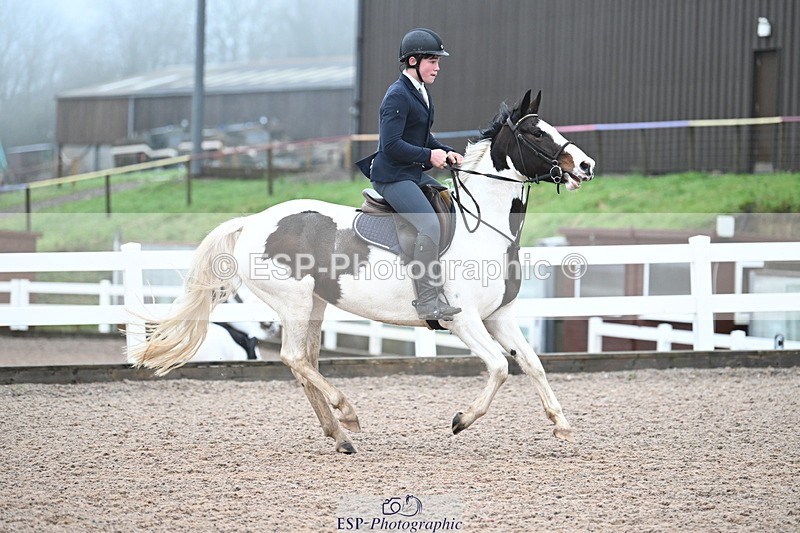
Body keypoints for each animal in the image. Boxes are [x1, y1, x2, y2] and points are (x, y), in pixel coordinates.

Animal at [127, 90, 596, 454]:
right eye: (536, 133)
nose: (586, 166)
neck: (481, 227)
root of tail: (252, 221)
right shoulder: (462, 320)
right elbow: (500, 367)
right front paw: (462, 420)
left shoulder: (499, 317)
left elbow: (533, 363)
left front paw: (561, 424)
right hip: (295, 301)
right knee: (294, 358)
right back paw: (347, 414)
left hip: (314, 305)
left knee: (304, 363)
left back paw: (339, 435)